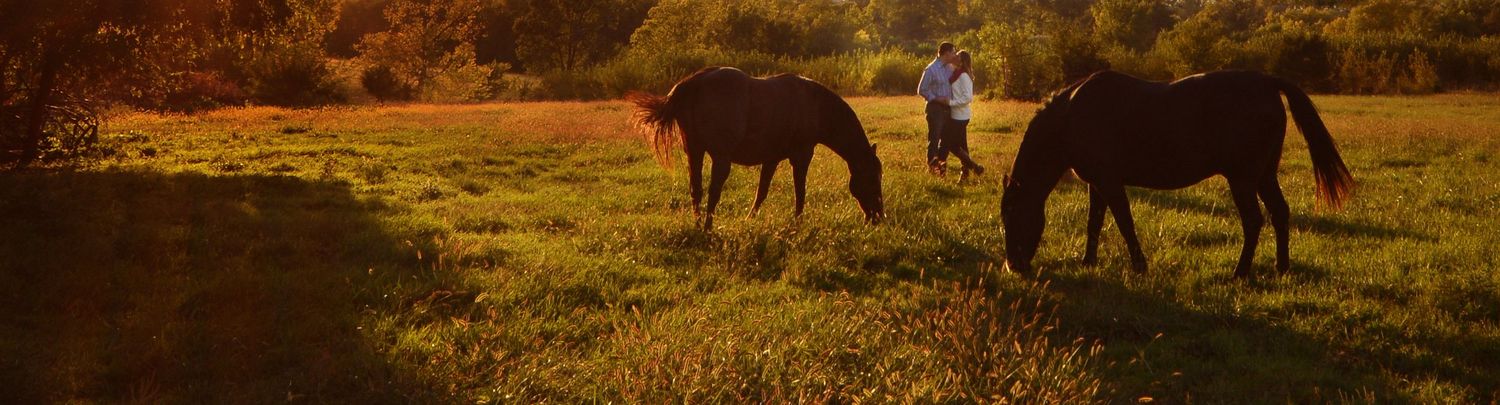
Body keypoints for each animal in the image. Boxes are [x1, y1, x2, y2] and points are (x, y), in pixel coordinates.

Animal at [628, 67, 884, 229]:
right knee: (713, 191)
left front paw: (749, 219)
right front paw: (798, 223)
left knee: (696, 190)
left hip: (695, 151)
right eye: (872, 178)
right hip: (720, 158)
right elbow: (800, 192)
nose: (878, 217)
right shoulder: (802, 156)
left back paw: (699, 225)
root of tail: (693, 83)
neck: (815, 106)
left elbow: (762, 192)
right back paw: (708, 228)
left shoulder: (772, 159)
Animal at [1001, 70, 1353, 278]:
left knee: (1254, 221)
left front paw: (1139, 266)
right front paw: (1088, 261)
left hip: (1243, 179)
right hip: (1264, 175)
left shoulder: (1110, 183)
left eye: (1014, 215)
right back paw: (1282, 268)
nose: (1013, 267)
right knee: (1280, 213)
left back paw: (1239, 272)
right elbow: (1094, 224)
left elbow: (1125, 223)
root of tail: (1266, 82)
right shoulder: (1097, 184)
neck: (1071, 118)